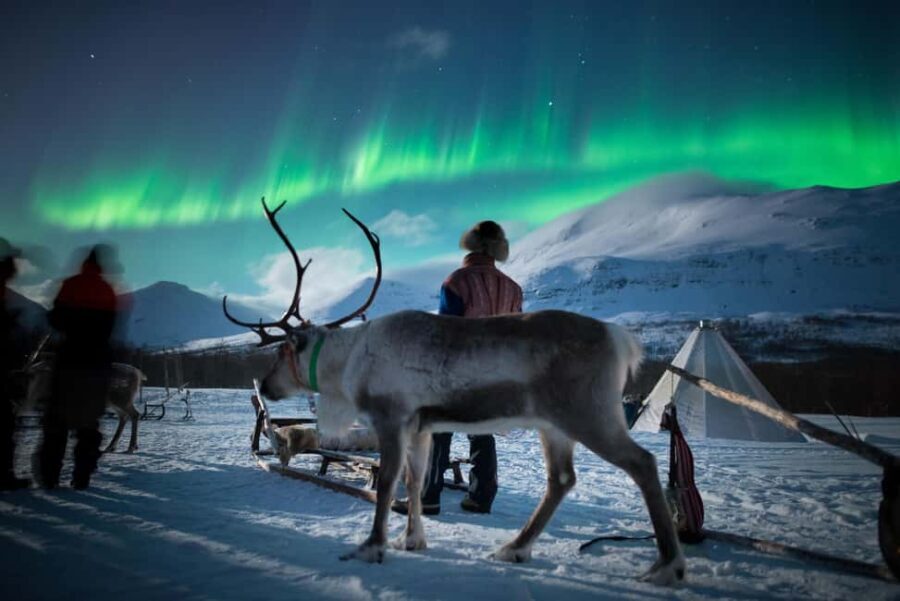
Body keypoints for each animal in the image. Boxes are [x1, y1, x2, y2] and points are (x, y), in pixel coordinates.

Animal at [224, 198, 685, 585]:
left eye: (281, 351)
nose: (266, 385)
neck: (349, 361)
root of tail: (620, 339)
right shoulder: (422, 426)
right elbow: (415, 480)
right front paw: (412, 540)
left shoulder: (391, 417)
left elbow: (388, 482)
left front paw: (372, 547)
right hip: (553, 425)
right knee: (562, 479)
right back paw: (514, 548)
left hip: (589, 414)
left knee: (642, 463)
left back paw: (667, 565)